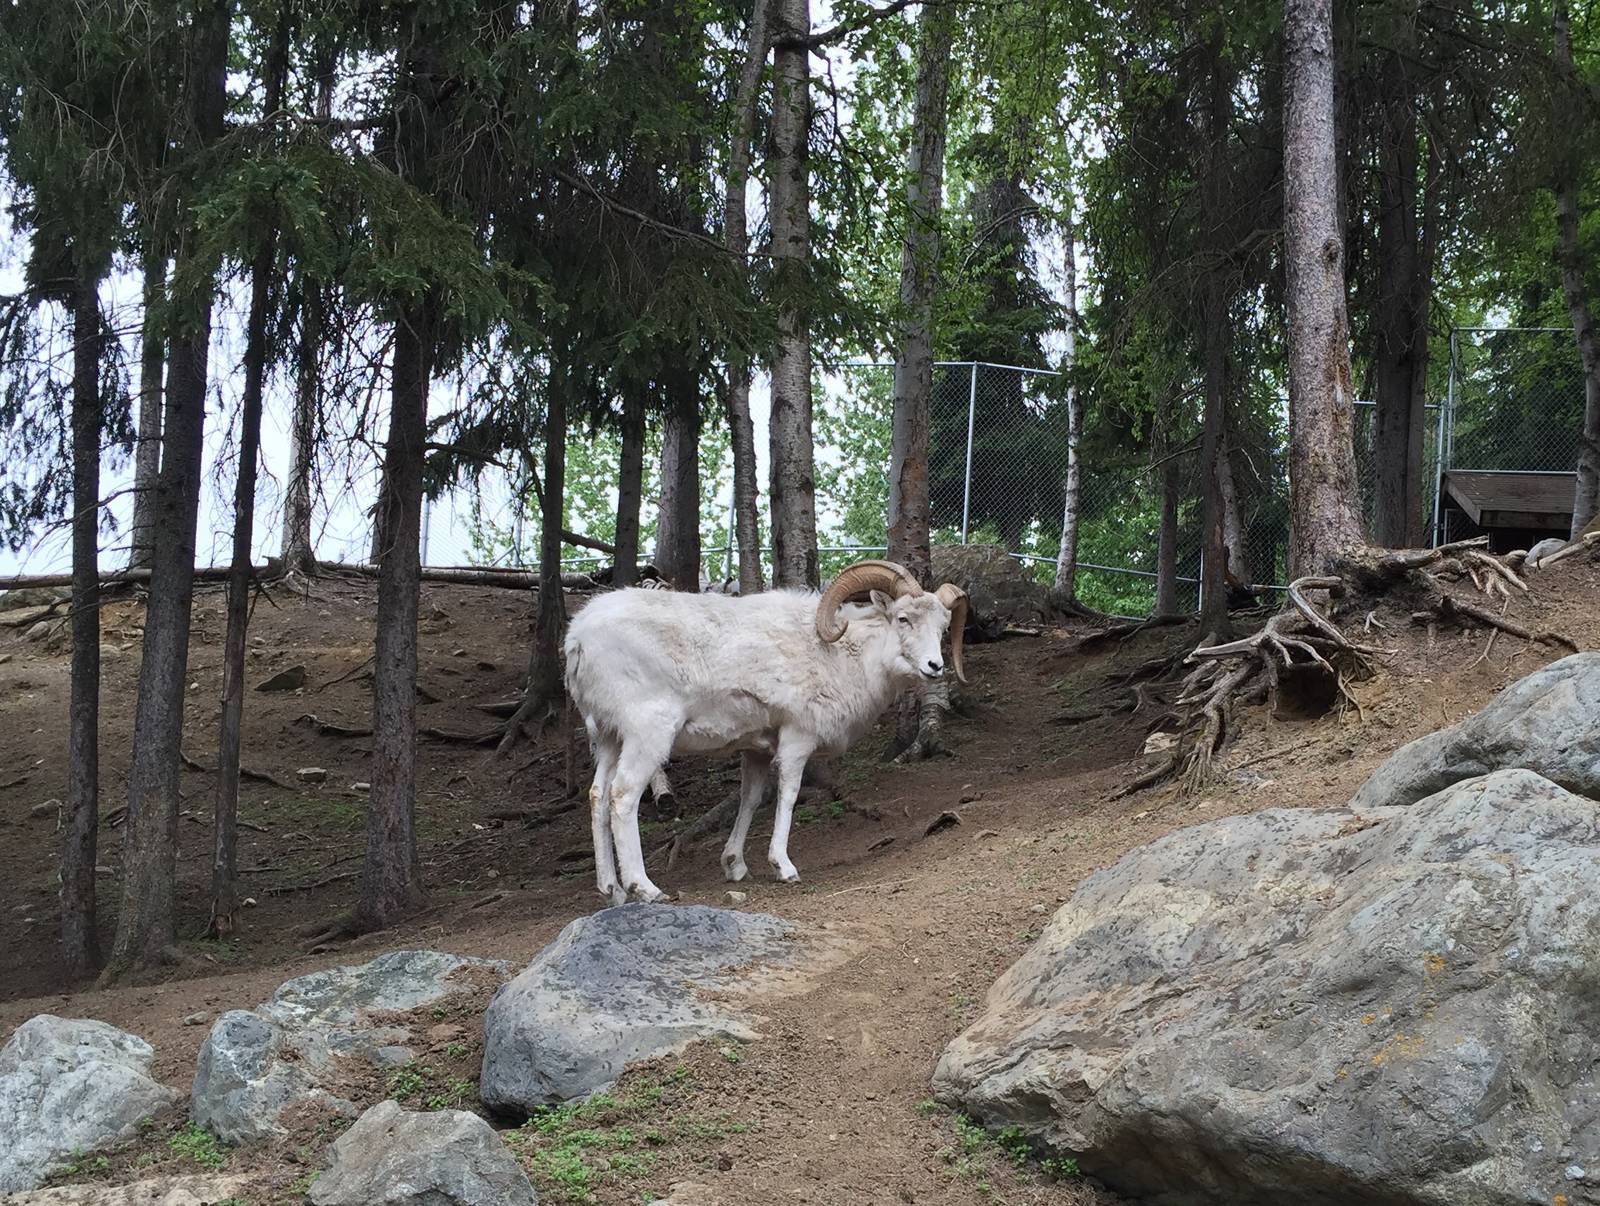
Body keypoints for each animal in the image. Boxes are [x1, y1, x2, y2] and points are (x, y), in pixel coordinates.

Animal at [564, 559, 968, 904]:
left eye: (943, 627)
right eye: (903, 618)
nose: (935, 666)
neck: (843, 655)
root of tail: (578, 639)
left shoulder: (756, 749)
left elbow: (751, 799)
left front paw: (734, 866)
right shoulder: (797, 739)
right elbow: (788, 795)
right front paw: (783, 867)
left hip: (609, 738)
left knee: (598, 796)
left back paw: (611, 890)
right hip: (647, 735)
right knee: (622, 796)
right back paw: (645, 889)